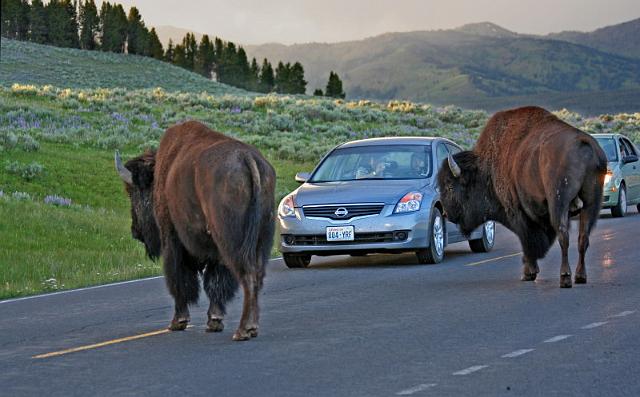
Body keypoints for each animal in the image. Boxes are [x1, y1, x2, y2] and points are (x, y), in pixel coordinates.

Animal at [115, 119, 276, 338]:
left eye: (132, 192)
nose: (135, 231)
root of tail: (248, 158)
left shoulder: (172, 239)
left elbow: (179, 279)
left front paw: (178, 321)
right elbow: (214, 282)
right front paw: (214, 320)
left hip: (232, 242)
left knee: (248, 275)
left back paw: (243, 330)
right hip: (261, 239)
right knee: (257, 276)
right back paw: (251, 328)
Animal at [438, 106, 608, 286]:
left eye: (450, 186)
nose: (445, 213)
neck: (487, 169)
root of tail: (583, 144)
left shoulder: (517, 212)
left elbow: (527, 241)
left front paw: (528, 273)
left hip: (559, 203)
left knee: (564, 236)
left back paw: (565, 277)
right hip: (591, 204)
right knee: (583, 237)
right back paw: (580, 276)